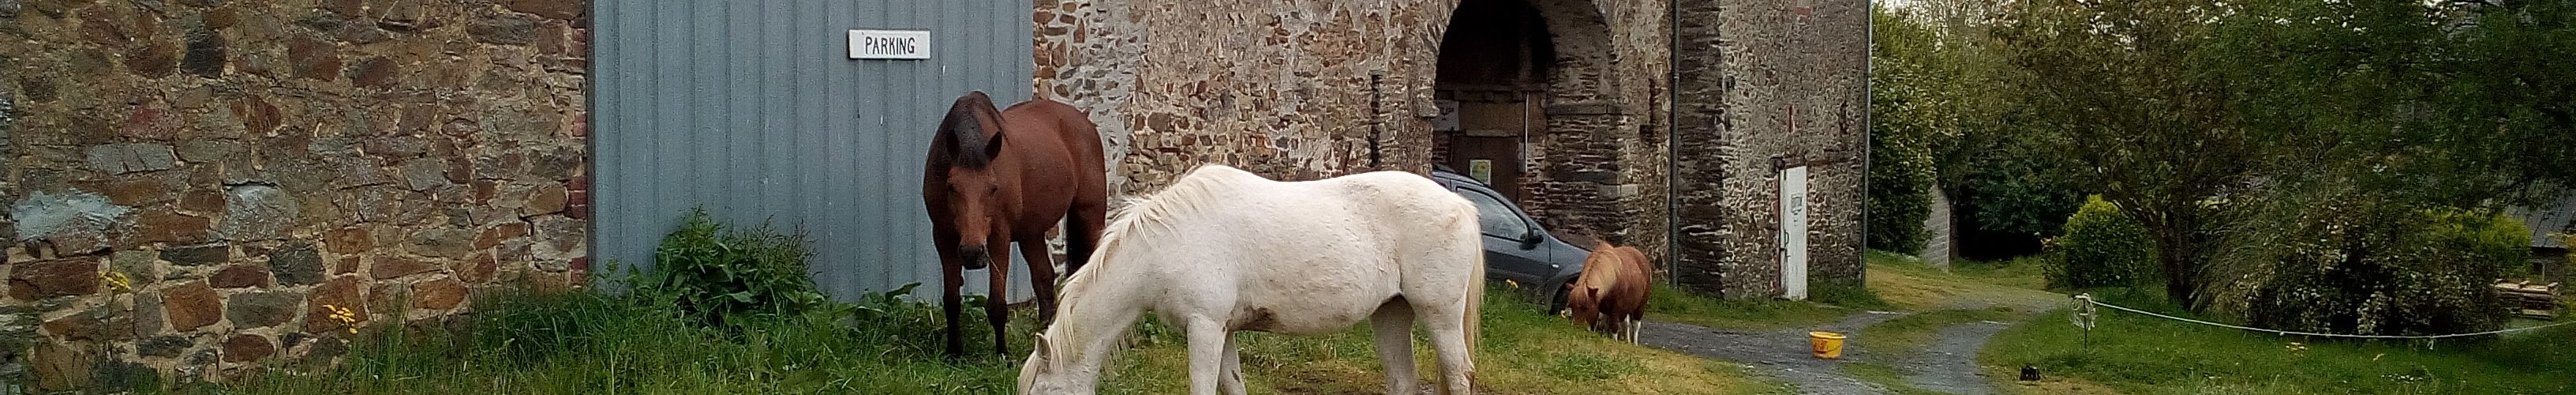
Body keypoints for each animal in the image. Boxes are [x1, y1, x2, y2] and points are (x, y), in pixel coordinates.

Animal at [922, 91, 1102, 356]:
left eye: (993, 188)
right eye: (951, 186)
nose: (973, 253)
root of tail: (1084, 122)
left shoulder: (999, 238)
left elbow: (997, 305)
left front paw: (1002, 354)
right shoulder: (943, 238)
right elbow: (951, 300)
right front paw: (954, 352)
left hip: (1090, 215)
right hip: (1031, 233)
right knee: (1043, 277)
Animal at [1009, 165, 1484, 392]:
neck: (1167, 243)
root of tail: (1462, 208)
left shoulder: (1204, 327)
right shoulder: (1225, 330)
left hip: (1439, 315)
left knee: (1460, 374)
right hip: (1390, 314)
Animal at [1556, 239, 1659, 343]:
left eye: (1586, 307)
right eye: (1571, 306)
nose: (1577, 328)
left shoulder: (1616, 310)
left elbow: (1614, 328)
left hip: (1641, 305)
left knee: (1635, 324)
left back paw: (1634, 343)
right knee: (1625, 324)